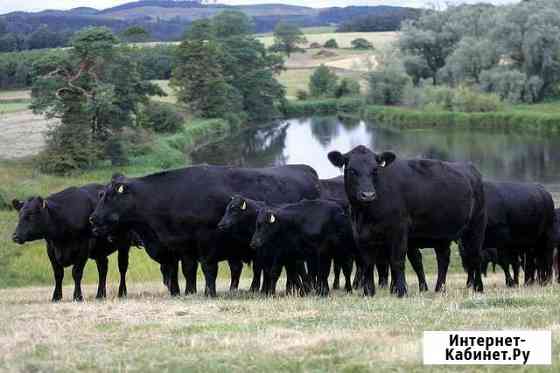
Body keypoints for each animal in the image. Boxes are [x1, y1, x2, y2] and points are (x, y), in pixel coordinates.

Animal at [89, 166, 322, 296]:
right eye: (100, 195)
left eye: (110, 196)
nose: (93, 218)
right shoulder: (181, 246)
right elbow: (186, 270)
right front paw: (187, 292)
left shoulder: (207, 243)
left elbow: (208, 269)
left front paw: (209, 292)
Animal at [328, 145, 486, 296]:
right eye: (352, 170)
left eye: (375, 170)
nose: (368, 195)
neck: (365, 215)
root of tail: (470, 167)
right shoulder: (361, 236)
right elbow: (368, 264)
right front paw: (368, 292)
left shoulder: (399, 231)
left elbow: (397, 261)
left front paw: (401, 291)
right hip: (442, 235)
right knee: (443, 259)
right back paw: (439, 289)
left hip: (476, 228)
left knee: (475, 257)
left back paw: (478, 288)